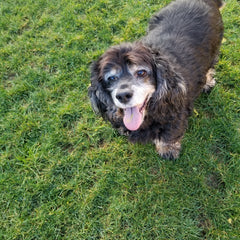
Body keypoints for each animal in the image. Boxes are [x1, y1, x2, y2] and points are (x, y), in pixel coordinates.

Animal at [87, 0, 223, 159]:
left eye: (141, 72)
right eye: (111, 78)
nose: (123, 95)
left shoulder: (175, 115)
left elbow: (169, 135)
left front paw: (168, 150)